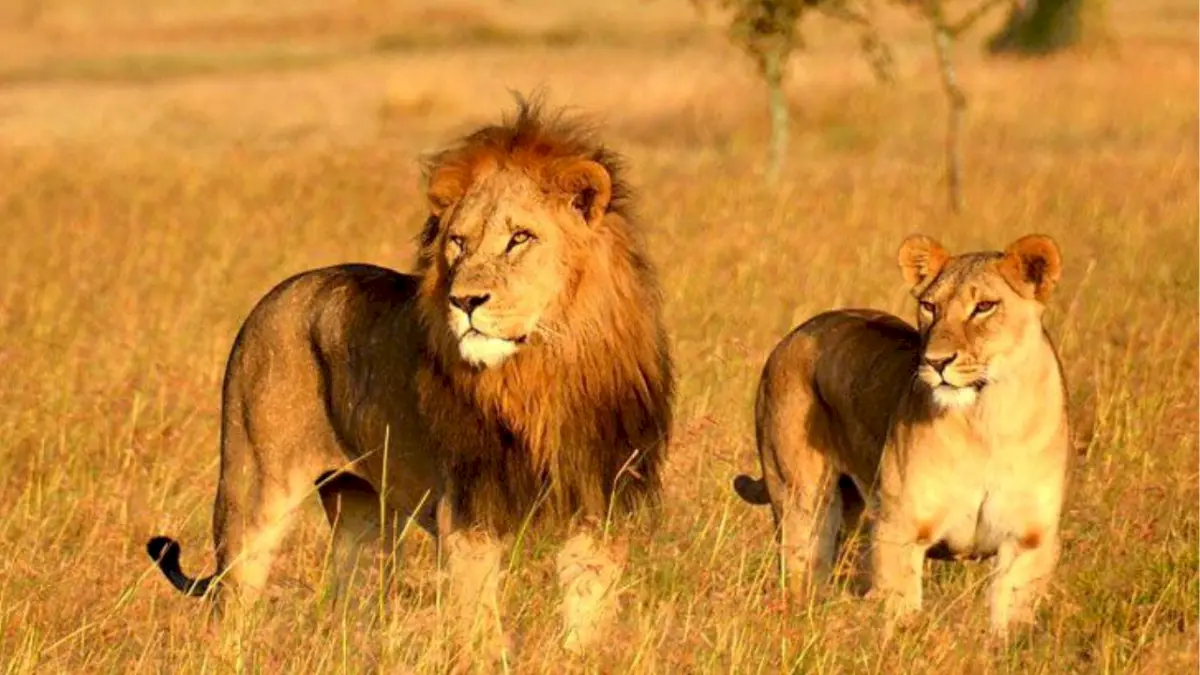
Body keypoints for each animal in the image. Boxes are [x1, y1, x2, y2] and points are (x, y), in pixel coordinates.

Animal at [144, 97, 674, 655]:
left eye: (520, 238)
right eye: (458, 242)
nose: (464, 301)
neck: (541, 372)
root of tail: (277, 293)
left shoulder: (600, 504)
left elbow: (587, 617)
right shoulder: (467, 512)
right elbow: (481, 630)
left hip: (361, 512)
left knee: (349, 599)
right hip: (251, 486)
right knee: (231, 602)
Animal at [734, 233, 1071, 638]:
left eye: (985, 306)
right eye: (929, 306)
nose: (936, 362)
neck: (988, 421)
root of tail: (794, 333)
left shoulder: (1028, 541)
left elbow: (1009, 625)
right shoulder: (899, 529)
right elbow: (901, 614)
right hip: (802, 502)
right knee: (803, 574)